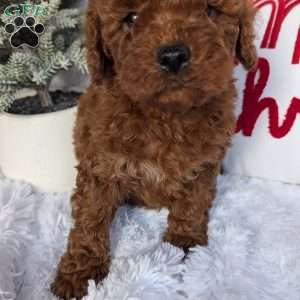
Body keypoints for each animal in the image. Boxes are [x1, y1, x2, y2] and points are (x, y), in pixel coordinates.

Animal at [52, 1, 258, 298]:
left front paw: (183, 243)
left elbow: (193, 202)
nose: (173, 56)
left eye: (209, 10)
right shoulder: (100, 163)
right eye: (132, 17)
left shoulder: (206, 161)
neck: (167, 114)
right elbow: (91, 217)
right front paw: (81, 272)